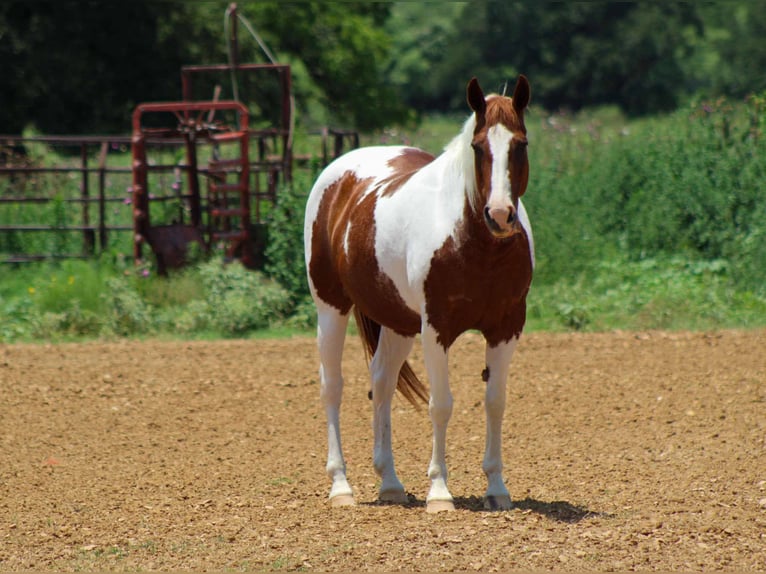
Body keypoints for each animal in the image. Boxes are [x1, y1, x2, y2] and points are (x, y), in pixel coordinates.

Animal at [304, 75, 534, 513]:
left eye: (520, 144)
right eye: (478, 147)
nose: (499, 215)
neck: (477, 245)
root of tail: (340, 174)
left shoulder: (506, 328)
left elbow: (495, 402)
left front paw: (497, 489)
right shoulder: (436, 329)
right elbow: (440, 404)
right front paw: (440, 492)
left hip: (398, 322)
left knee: (381, 382)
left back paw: (390, 483)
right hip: (331, 308)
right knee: (332, 386)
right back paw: (341, 486)